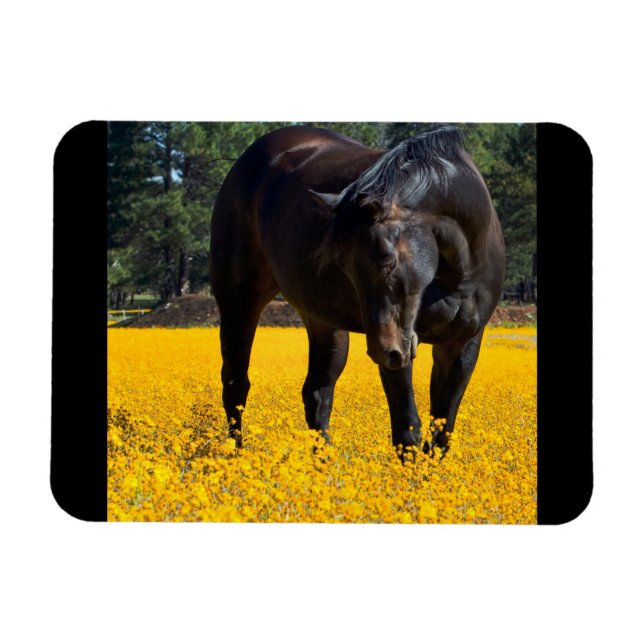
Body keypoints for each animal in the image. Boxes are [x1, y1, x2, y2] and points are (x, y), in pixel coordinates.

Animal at [209, 125, 505, 456]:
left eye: (388, 259)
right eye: (343, 264)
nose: (382, 350)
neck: (456, 272)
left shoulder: (461, 345)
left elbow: (441, 435)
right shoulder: (400, 349)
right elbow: (407, 429)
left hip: (324, 323)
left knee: (317, 393)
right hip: (239, 301)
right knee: (236, 384)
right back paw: (235, 455)